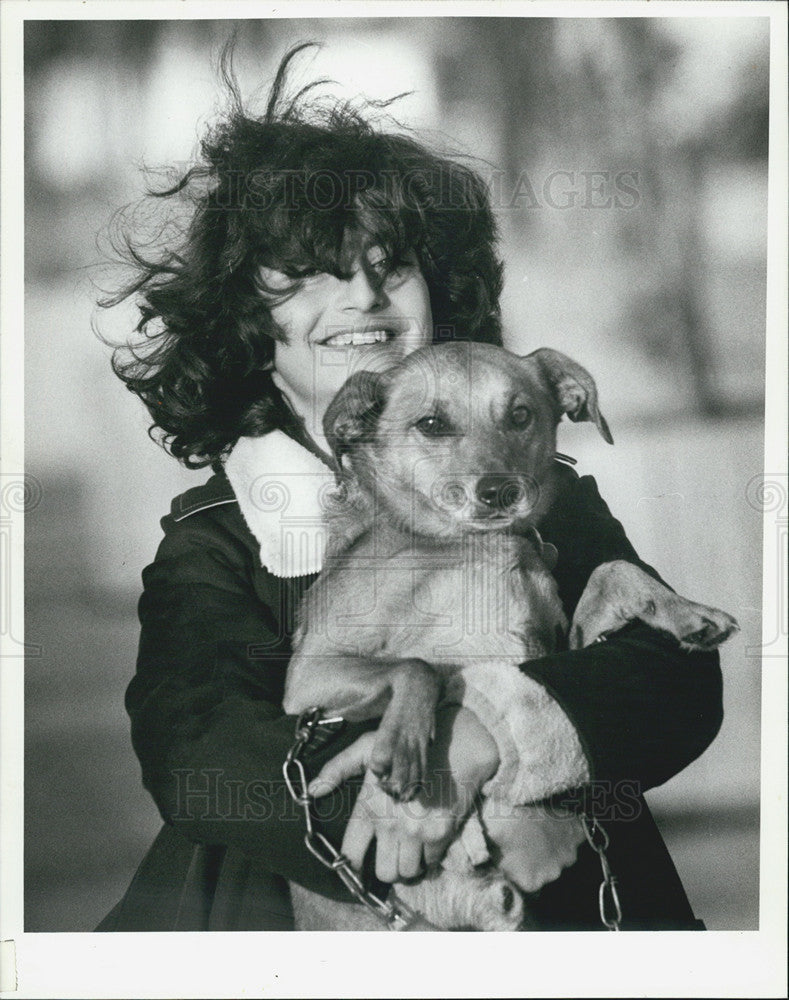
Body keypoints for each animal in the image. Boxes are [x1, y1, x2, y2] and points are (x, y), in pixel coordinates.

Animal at [284, 344, 740, 928]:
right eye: (430, 424)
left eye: (520, 415)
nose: (500, 490)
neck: (470, 546)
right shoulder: (308, 673)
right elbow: (418, 667)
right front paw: (405, 745)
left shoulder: (555, 647)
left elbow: (614, 571)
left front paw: (688, 614)